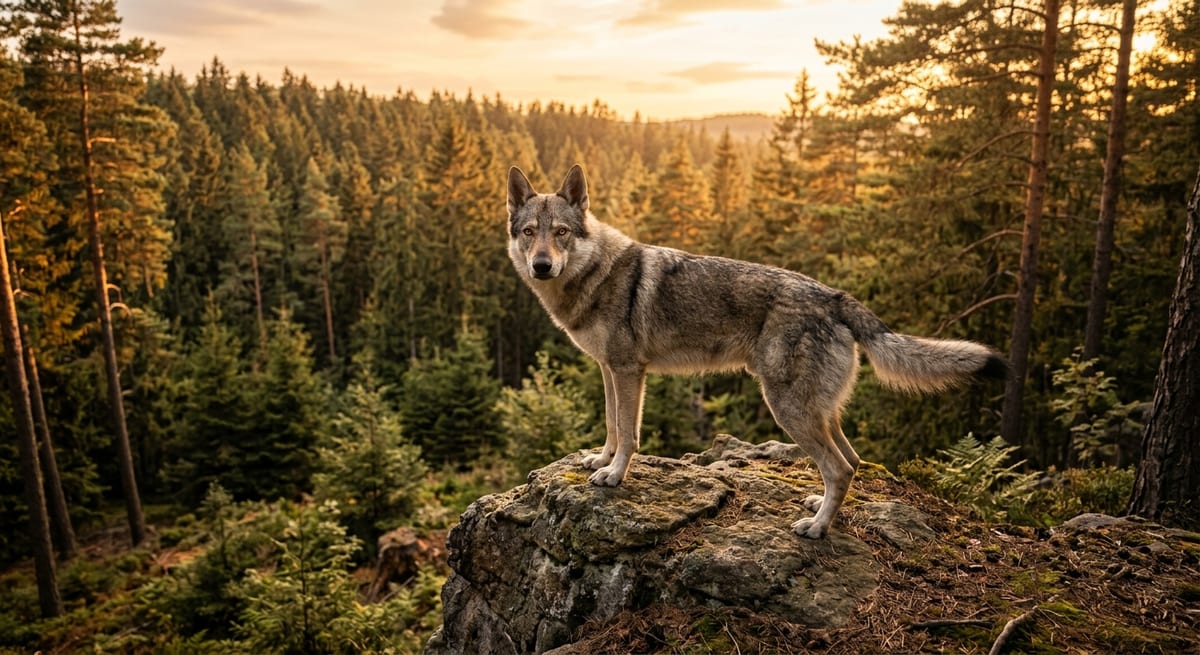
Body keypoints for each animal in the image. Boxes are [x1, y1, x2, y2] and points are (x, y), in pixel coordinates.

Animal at [506, 164, 1007, 538]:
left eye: (562, 232)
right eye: (530, 232)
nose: (542, 265)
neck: (594, 275)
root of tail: (836, 296)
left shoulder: (629, 370)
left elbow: (629, 434)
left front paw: (614, 477)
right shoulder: (610, 370)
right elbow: (612, 426)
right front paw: (600, 461)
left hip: (787, 407)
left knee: (839, 468)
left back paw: (816, 528)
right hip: (817, 411)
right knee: (853, 461)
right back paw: (820, 508)